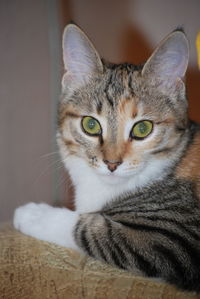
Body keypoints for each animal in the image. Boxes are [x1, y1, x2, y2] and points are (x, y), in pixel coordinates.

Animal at [14, 24, 200, 292]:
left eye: (142, 128)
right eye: (90, 125)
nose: (112, 163)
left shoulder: (176, 239)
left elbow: (93, 231)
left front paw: (34, 214)